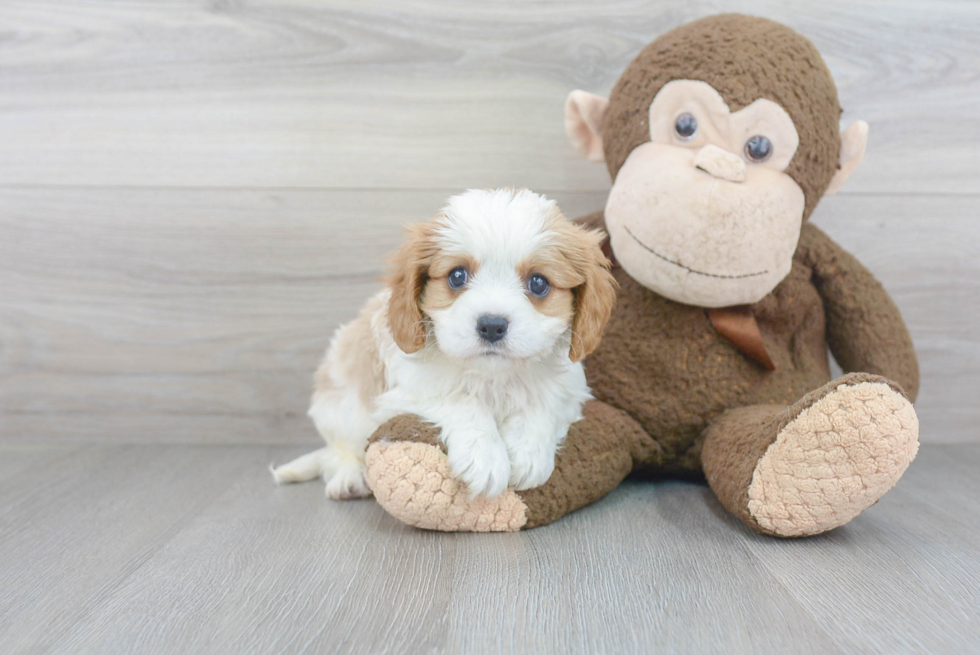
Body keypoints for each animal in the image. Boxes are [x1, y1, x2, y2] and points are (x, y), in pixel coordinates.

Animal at [272, 190, 616, 502]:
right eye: (457, 276)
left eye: (539, 283)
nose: (492, 325)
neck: (493, 377)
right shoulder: (403, 393)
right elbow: (462, 400)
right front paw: (485, 458)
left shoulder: (570, 391)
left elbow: (543, 403)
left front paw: (528, 452)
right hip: (338, 408)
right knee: (338, 451)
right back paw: (349, 477)